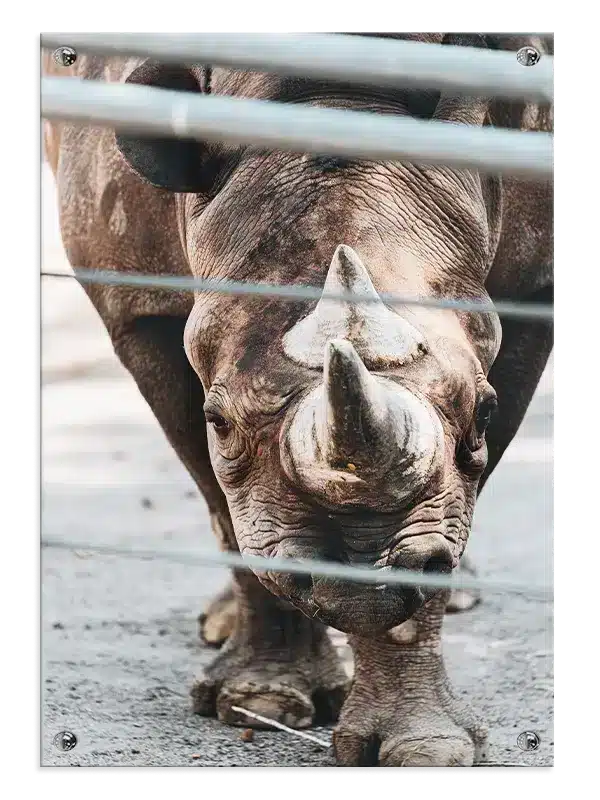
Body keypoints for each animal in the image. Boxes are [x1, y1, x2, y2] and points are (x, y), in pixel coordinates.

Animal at [42, 33, 554, 767]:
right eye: (218, 420)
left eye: (482, 414)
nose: (359, 581)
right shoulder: (137, 305)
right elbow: (221, 501)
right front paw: (261, 702)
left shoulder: (534, 290)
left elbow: (452, 515)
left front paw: (425, 746)